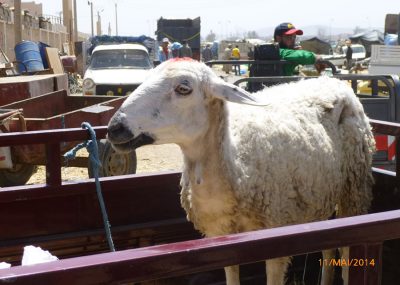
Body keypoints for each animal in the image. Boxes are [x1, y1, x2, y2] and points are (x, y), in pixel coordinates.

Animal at [106, 58, 376, 282]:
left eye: (184, 88)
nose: (115, 128)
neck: (237, 170)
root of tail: (332, 80)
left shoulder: (277, 241)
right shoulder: (223, 237)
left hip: (353, 190)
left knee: (347, 249)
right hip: (322, 191)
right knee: (330, 245)